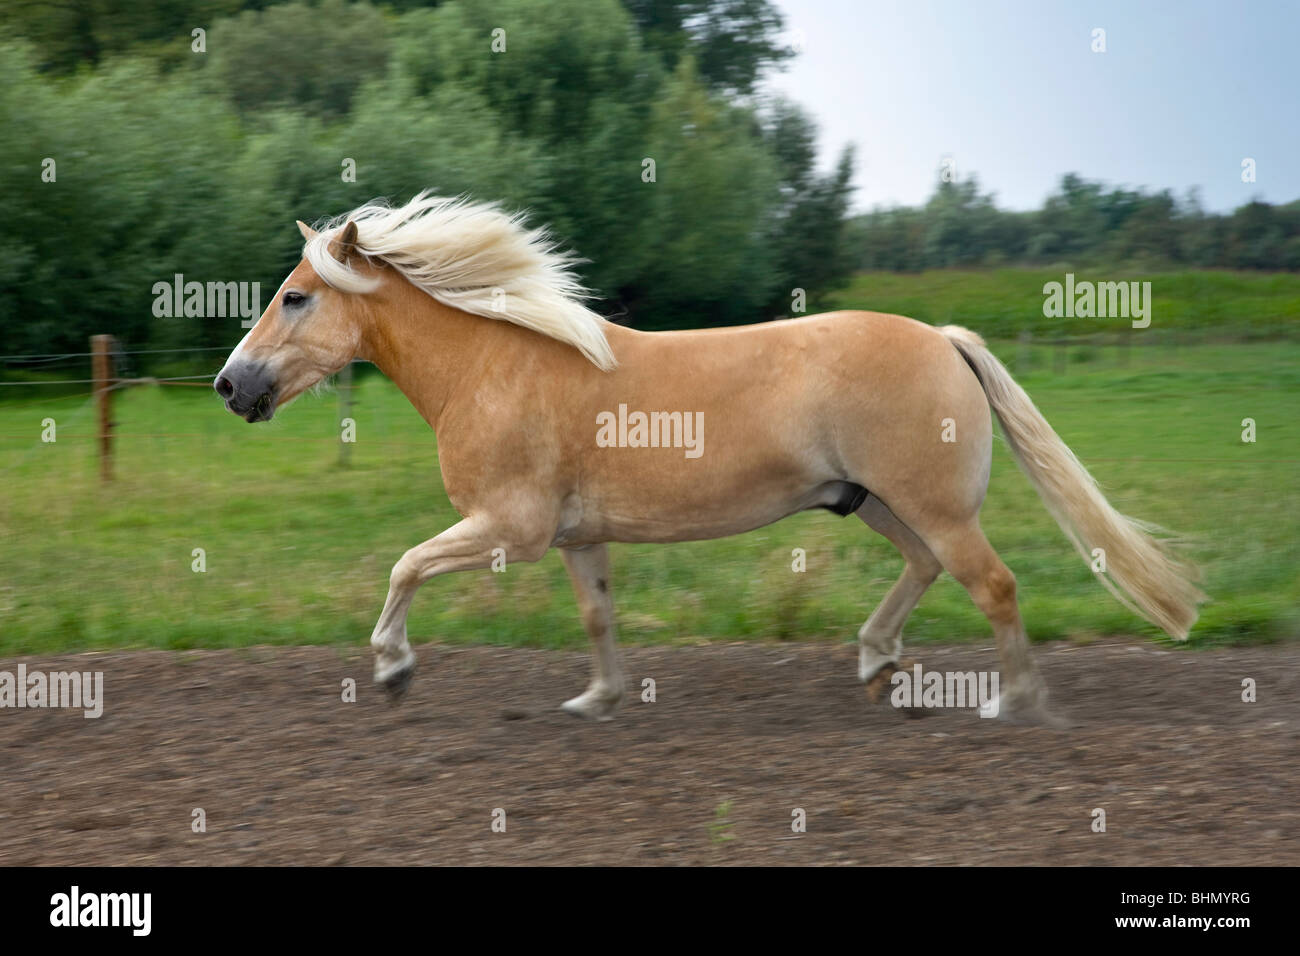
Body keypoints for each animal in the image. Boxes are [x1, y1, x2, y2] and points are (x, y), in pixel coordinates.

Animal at [215, 191, 1206, 723]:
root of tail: (945, 339)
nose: (230, 385)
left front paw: (392, 670)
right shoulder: (576, 537)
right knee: (927, 571)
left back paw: (1013, 702)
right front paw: (597, 701)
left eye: (296, 296)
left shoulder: (510, 529)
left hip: (930, 506)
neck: (491, 368)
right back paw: (876, 662)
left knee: (993, 586)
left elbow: (405, 566)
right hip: (875, 501)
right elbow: (597, 617)